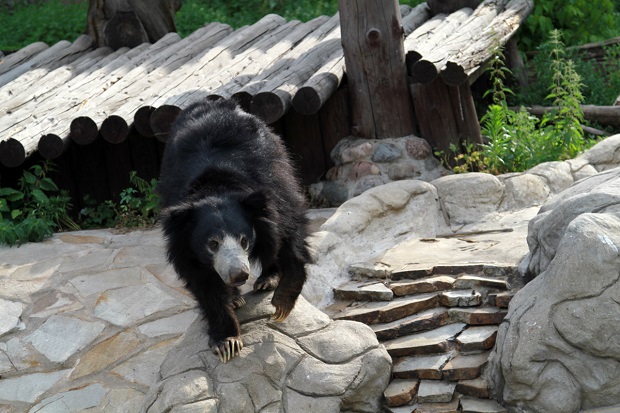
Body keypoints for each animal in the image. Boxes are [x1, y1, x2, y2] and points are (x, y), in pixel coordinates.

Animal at [157, 99, 312, 360]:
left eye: (244, 240)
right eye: (212, 244)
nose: (238, 275)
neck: (216, 185)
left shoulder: (273, 185)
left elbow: (289, 228)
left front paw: (281, 305)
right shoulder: (183, 243)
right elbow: (203, 284)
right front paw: (226, 342)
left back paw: (267, 280)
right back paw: (237, 299)